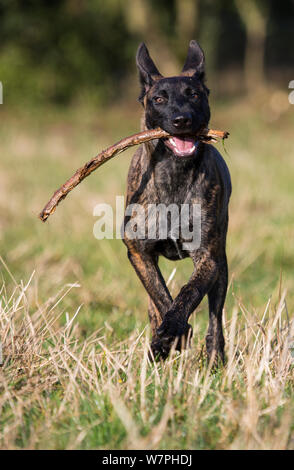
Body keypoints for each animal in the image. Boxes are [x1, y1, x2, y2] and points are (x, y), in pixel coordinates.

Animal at [122, 41, 232, 364]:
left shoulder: (208, 257)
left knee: (215, 315)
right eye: (159, 98)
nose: (182, 120)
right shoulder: (139, 253)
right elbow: (160, 296)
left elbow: (189, 292)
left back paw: (215, 356)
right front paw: (170, 337)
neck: (174, 174)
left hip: (222, 266)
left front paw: (174, 328)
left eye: (194, 94)